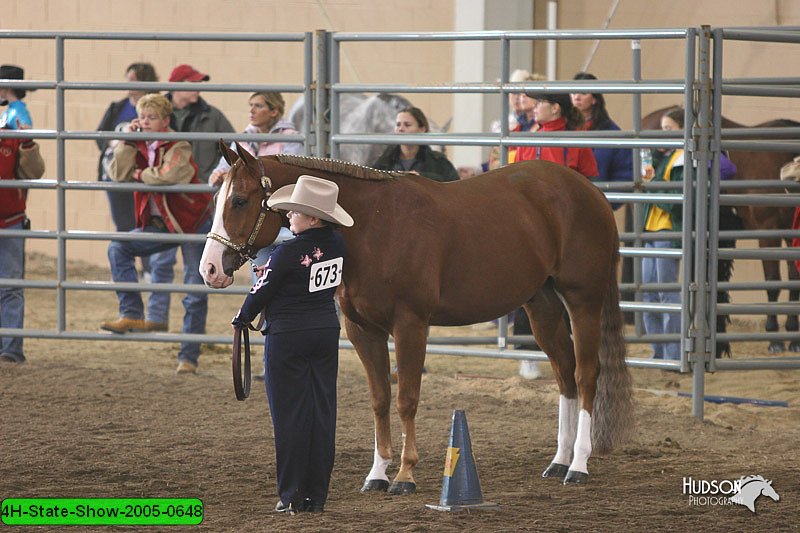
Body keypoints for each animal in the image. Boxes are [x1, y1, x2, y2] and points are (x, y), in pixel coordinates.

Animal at [203, 142, 636, 490]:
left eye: (239, 200)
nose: (210, 269)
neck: (374, 225)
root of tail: (588, 190)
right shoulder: (363, 330)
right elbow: (380, 399)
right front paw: (377, 475)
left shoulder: (410, 325)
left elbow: (406, 399)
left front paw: (405, 475)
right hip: (540, 304)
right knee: (564, 372)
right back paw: (559, 460)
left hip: (582, 300)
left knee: (586, 374)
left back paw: (578, 466)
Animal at [644, 106, 800, 354]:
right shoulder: (768, 230)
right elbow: (772, 282)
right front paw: (774, 337)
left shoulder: (789, 231)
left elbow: (793, 280)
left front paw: (793, 337)